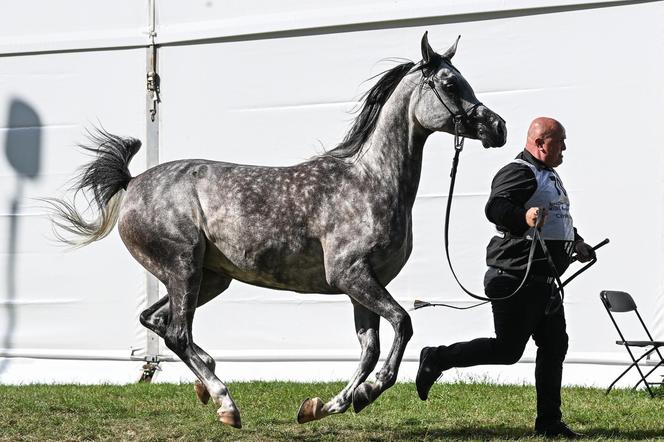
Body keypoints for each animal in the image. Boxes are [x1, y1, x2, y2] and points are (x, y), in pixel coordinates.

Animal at [49, 34, 506, 428]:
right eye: (450, 83)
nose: (497, 127)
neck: (371, 181)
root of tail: (132, 185)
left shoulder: (363, 285)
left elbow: (369, 348)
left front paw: (324, 406)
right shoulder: (352, 275)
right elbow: (403, 324)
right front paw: (369, 392)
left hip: (209, 279)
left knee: (156, 320)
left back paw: (206, 386)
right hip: (183, 270)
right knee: (177, 331)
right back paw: (225, 403)